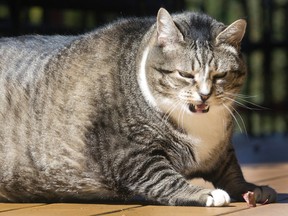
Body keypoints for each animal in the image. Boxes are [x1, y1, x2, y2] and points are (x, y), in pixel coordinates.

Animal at [0, 7, 276, 206]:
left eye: (220, 75)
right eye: (185, 74)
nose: (205, 95)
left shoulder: (220, 152)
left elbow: (232, 172)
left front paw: (252, 188)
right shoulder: (131, 157)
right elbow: (165, 179)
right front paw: (205, 193)